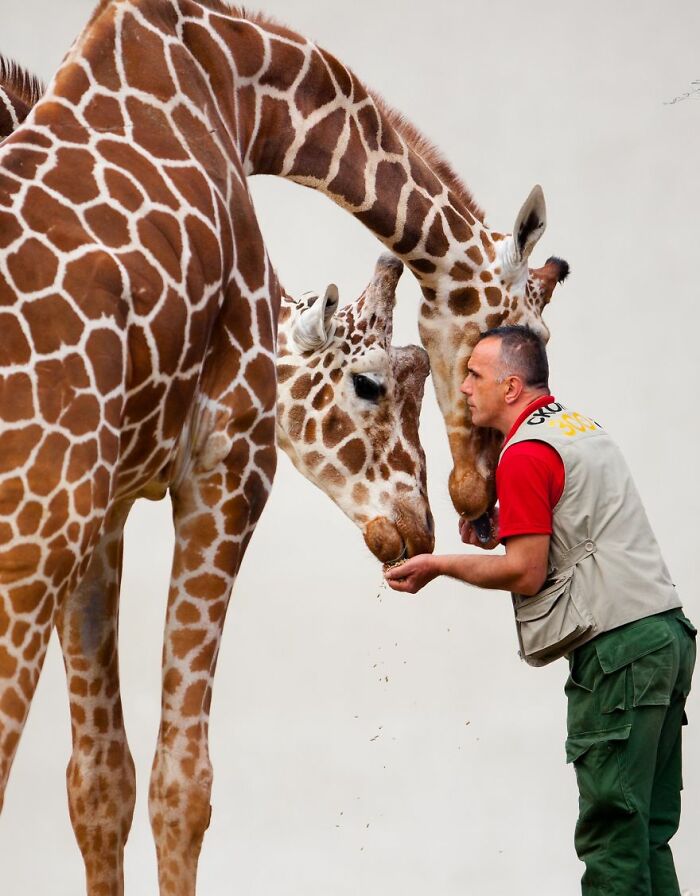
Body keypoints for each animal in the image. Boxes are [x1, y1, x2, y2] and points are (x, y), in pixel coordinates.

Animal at [0, 1, 567, 891]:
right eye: (374, 382)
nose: (449, 514)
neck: (236, 85)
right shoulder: (228, 467)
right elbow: (183, 783)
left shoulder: (108, 510)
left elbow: (99, 782)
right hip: (32, 537)